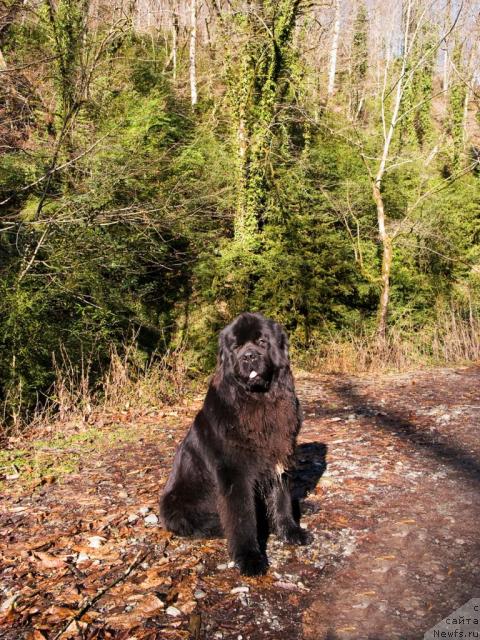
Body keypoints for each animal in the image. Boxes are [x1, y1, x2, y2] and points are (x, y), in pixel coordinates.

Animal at [160, 310, 312, 576]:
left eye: (262, 341)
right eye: (237, 346)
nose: (249, 356)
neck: (258, 402)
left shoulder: (278, 458)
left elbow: (281, 501)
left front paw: (291, 531)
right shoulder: (234, 474)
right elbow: (242, 518)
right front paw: (249, 558)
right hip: (176, 506)